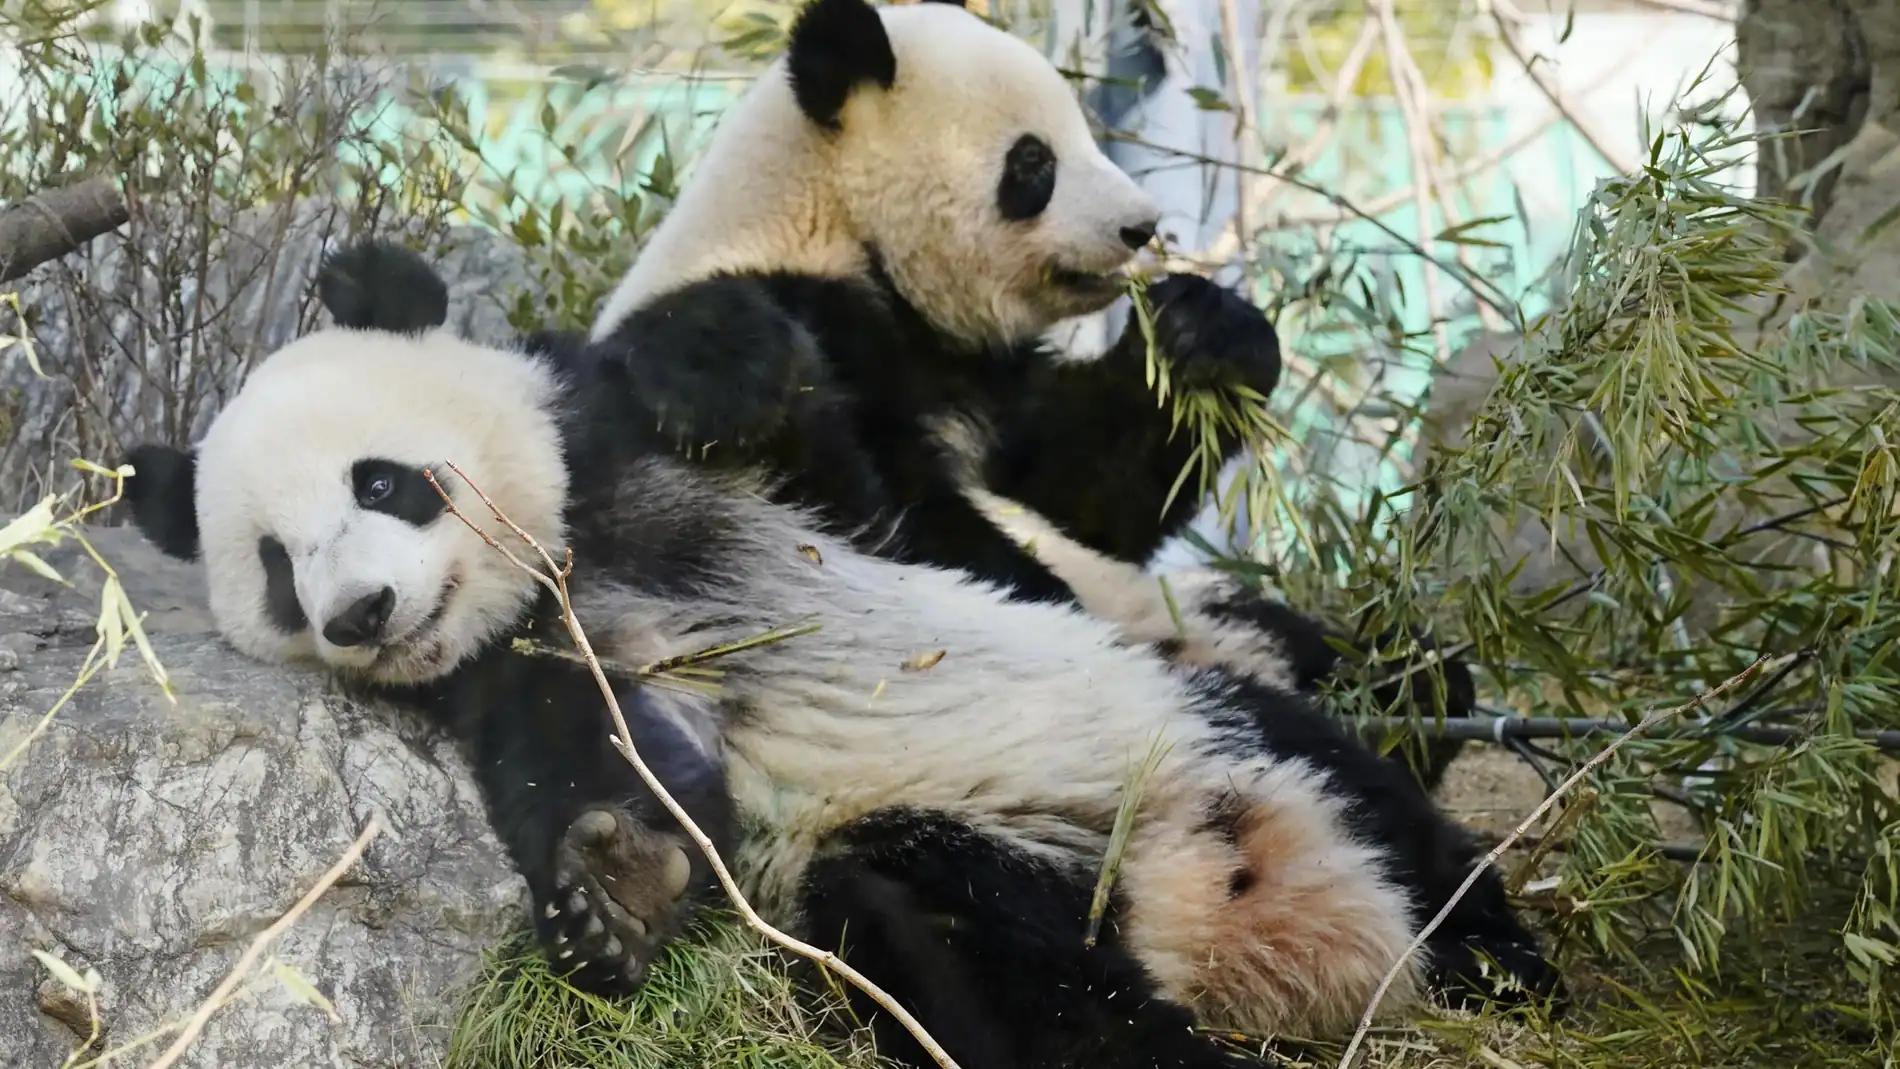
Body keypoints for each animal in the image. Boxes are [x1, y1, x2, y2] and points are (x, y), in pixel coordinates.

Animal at [119, 240, 1561, 1069]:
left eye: (382, 481)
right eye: (275, 567)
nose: (361, 612)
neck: (569, 569)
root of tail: (1226, 909)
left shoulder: (700, 477)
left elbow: (889, 494)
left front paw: (713, 356)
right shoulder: (530, 670)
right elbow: (617, 766)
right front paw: (611, 889)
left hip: (1196, 724)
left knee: (1381, 812)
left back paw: (1506, 970)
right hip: (987, 861)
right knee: (969, 956)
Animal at [574, 0, 1479, 789]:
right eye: (1034, 161)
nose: (1141, 226)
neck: (835, 228)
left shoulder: (987, 377)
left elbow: (1085, 494)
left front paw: (1207, 333)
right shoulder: (803, 307)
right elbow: (862, 510)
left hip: (1206, 612)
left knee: (1338, 652)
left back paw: (1414, 689)